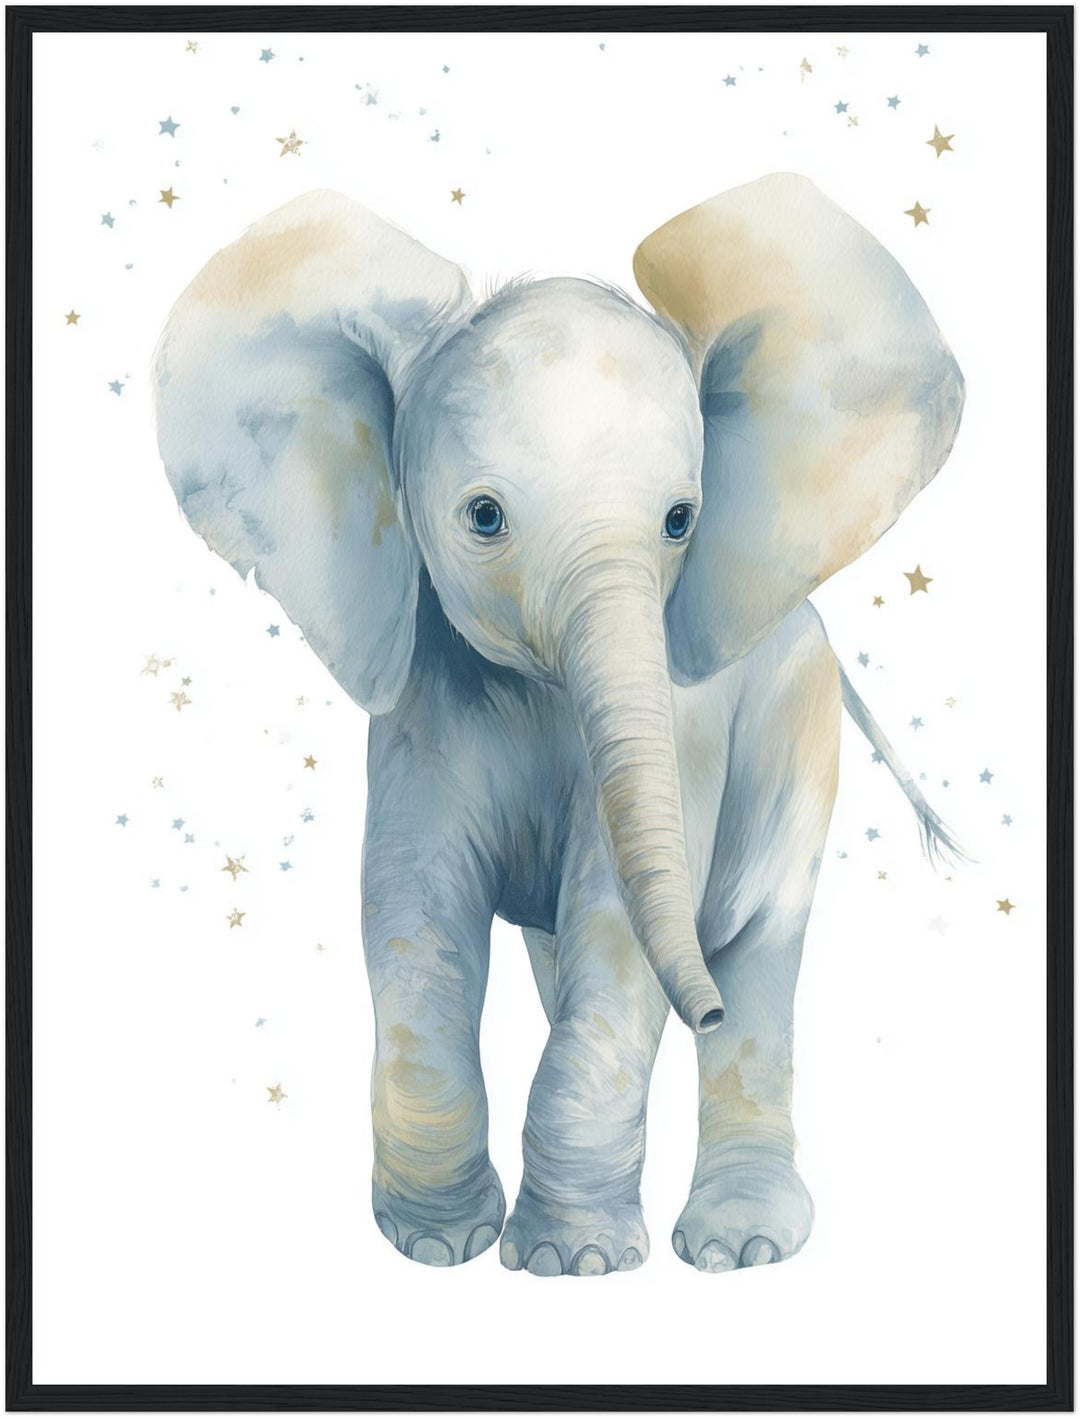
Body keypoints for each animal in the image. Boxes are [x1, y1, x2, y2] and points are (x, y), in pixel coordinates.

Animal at [153, 173, 964, 1276]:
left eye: (680, 520)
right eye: (484, 516)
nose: (699, 1003)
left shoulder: (683, 718)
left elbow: (617, 927)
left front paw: (567, 1264)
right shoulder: (425, 697)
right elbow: (412, 912)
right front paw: (437, 1242)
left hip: (799, 725)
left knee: (759, 942)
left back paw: (740, 1239)